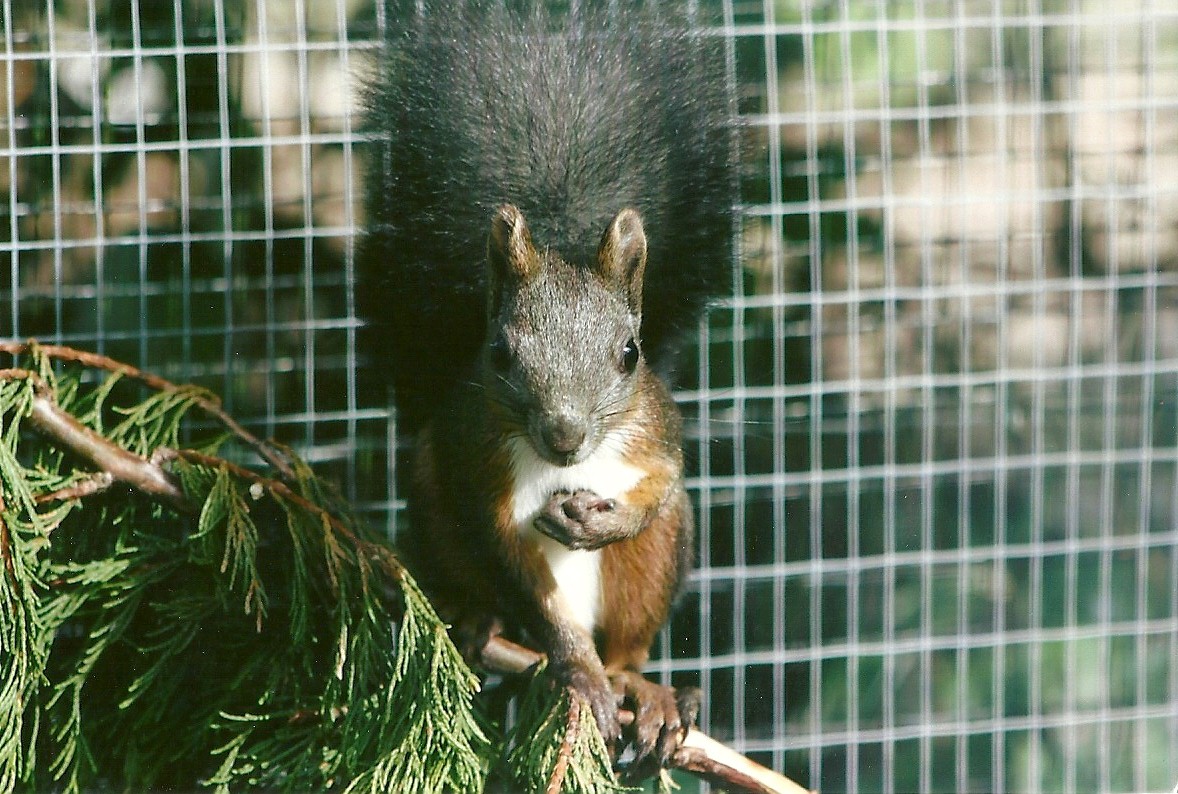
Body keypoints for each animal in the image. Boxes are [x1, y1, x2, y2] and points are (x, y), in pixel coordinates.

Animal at [360, 0, 736, 774]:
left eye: (630, 353)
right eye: (499, 352)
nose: (564, 433)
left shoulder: (657, 429)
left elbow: (663, 479)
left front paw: (609, 521)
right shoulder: (485, 476)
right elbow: (521, 571)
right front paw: (577, 673)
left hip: (656, 566)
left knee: (632, 635)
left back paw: (644, 689)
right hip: (434, 508)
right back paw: (485, 624)